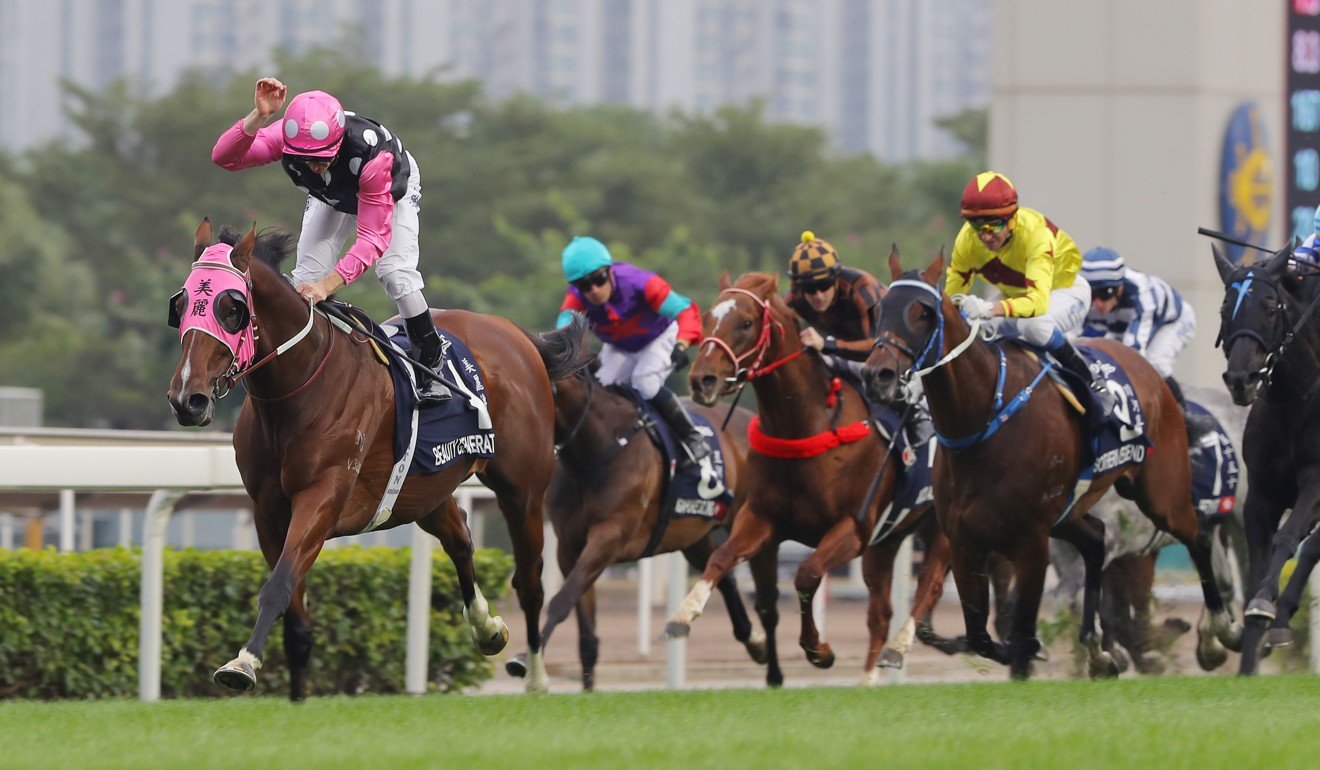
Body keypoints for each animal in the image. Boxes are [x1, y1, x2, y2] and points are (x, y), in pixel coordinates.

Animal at [165, 223, 588, 697]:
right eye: (180, 305)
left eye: (231, 308)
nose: (187, 398)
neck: (299, 386)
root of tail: (515, 334)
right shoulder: (267, 510)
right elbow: (294, 616)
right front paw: (294, 696)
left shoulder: (323, 497)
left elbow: (277, 587)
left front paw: (242, 663)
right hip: (423, 489)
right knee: (460, 538)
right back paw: (487, 627)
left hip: (523, 489)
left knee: (529, 581)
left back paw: (535, 677)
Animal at [535, 369, 776, 692]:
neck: (597, 449)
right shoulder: (569, 546)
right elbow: (582, 621)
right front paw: (587, 689)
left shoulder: (608, 537)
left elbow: (563, 599)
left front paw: (527, 665)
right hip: (693, 535)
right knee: (725, 577)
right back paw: (752, 640)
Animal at [660, 269, 960, 681]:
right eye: (707, 318)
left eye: (747, 322)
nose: (702, 380)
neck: (807, 423)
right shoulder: (762, 518)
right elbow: (721, 557)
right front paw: (684, 613)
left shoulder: (851, 528)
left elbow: (806, 574)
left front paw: (819, 650)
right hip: (887, 540)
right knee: (880, 613)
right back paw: (868, 680)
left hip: (940, 529)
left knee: (928, 587)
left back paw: (898, 648)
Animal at [860, 253, 1240, 681]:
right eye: (879, 309)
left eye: (921, 312)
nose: (877, 376)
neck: (983, 424)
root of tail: (1151, 375)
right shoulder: (965, 541)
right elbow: (982, 633)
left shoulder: (1031, 541)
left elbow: (1025, 622)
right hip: (1069, 516)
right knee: (1096, 541)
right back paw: (1101, 653)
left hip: (1161, 495)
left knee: (1199, 538)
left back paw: (1218, 636)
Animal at [1209, 244, 1320, 670]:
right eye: (1226, 307)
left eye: (1271, 306)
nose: (1243, 379)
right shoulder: (1261, 494)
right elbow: (1258, 558)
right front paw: (1248, 659)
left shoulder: (1315, 482)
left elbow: (1288, 539)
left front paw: (1264, 605)